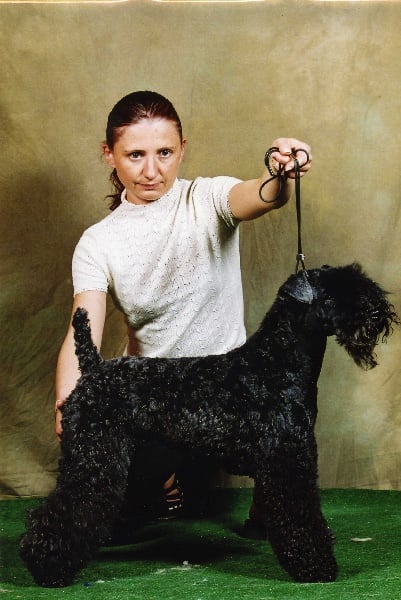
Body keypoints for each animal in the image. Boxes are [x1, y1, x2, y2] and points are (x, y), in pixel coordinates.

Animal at [20, 263, 398, 587]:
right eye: (333, 293)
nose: (378, 309)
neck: (275, 364)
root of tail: (92, 370)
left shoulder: (291, 457)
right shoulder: (288, 460)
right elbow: (301, 515)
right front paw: (317, 566)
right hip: (94, 459)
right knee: (65, 509)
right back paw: (47, 567)